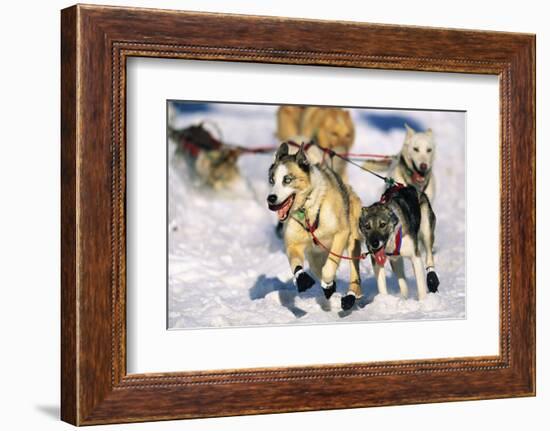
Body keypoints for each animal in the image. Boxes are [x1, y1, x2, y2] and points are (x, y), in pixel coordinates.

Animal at [268, 142, 366, 310]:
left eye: (287, 179)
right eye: (272, 180)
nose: (271, 198)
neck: (307, 211)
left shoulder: (341, 234)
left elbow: (329, 267)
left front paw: (328, 284)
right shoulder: (293, 244)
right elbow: (296, 264)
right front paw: (302, 279)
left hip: (352, 243)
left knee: (354, 272)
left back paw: (351, 296)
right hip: (314, 256)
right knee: (317, 268)